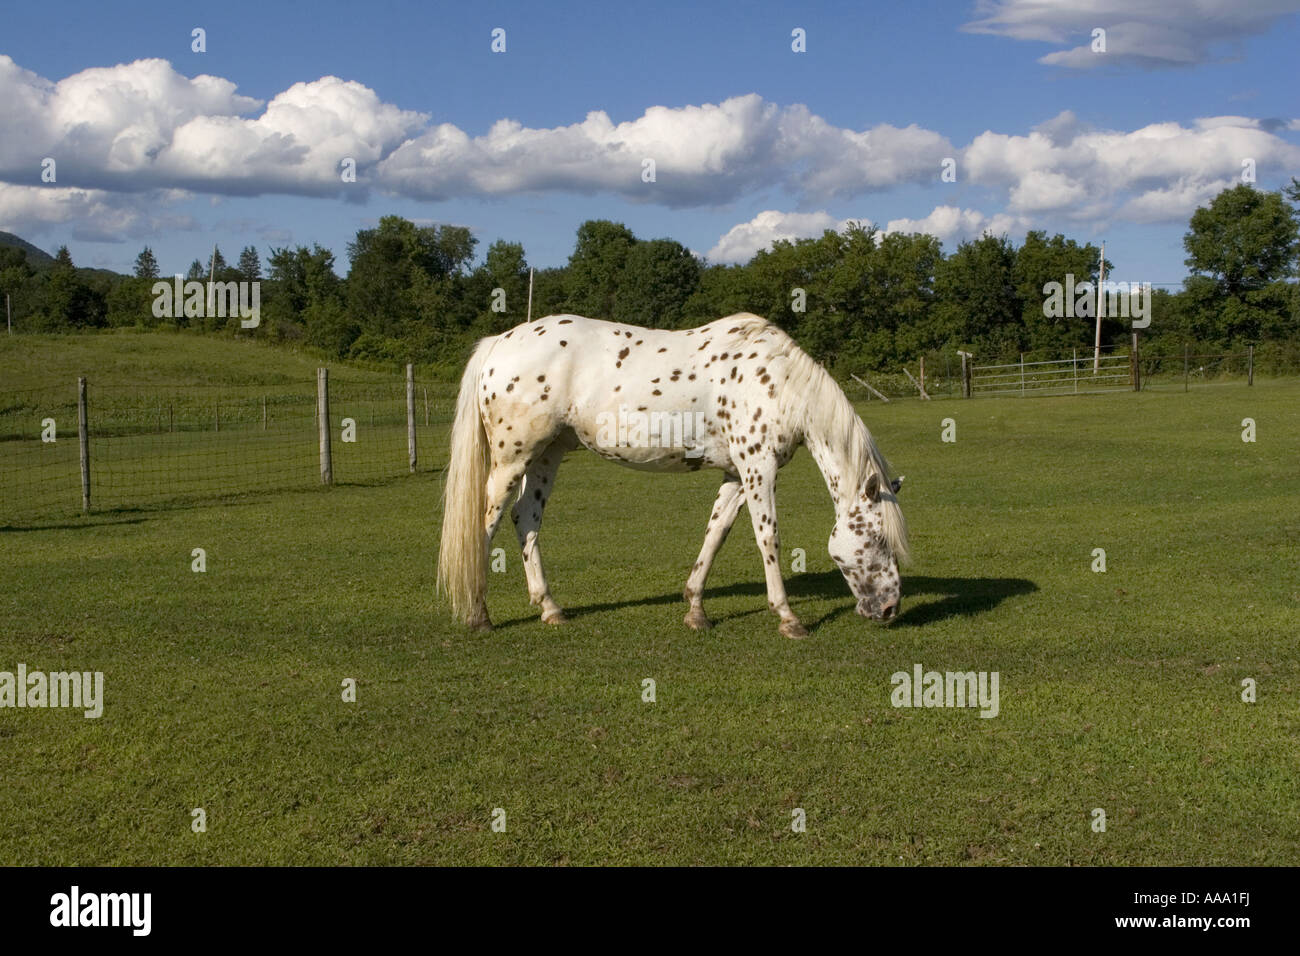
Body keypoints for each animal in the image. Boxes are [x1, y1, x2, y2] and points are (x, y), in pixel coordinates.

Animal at [436, 314, 904, 639]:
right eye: (879, 539)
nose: (889, 610)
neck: (777, 382)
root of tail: (499, 344)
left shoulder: (735, 474)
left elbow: (715, 534)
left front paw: (695, 610)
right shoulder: (758, 468)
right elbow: (768, 538)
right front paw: (788, 618)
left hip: (546, 457)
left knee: (526, 520)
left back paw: (551, 609)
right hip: (511, 460)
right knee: (485, 525)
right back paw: (479, 616)